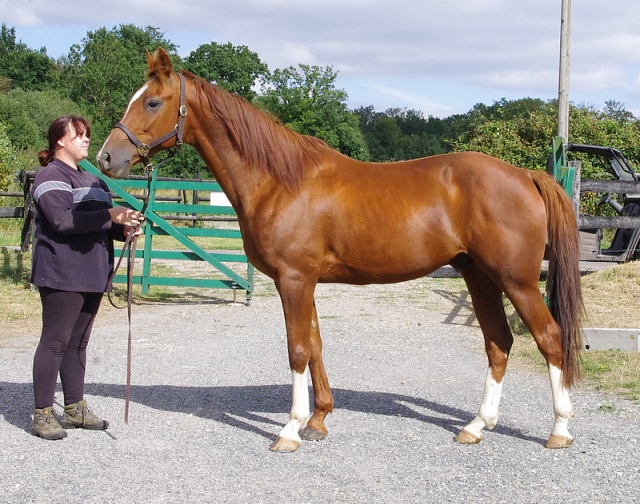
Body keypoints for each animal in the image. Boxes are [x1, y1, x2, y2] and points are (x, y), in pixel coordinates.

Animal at [97, 50, 584, 452]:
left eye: (152, 103)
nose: (106, 158)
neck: (281, 181)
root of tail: (525, 175)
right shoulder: (305, 281)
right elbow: (315, 344)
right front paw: (318, 420)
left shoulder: (294, 279)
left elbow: (297, 349)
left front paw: (290, 430)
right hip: (479, 277)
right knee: (499, 343)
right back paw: (477, 426)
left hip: (516, 281)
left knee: (550, 338)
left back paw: (560, 430)